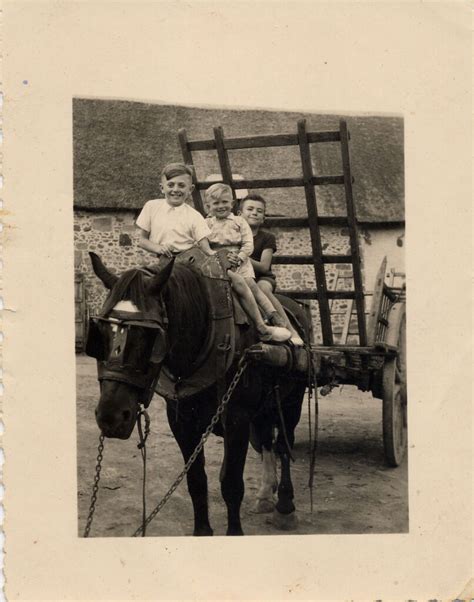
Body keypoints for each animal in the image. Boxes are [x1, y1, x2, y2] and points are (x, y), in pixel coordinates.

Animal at [87, 251, 310, 532]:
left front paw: (235, 532)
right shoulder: (181, 421)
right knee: (266, 441)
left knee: (283, 445)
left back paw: (285, 506)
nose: (111, 417)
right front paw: (202, 531)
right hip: (265, 407)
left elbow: (231, 484)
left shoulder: (236, 418)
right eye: (100, 333)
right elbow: (196, 481)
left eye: (150, 337)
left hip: (293, 401)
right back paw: (264, 496)